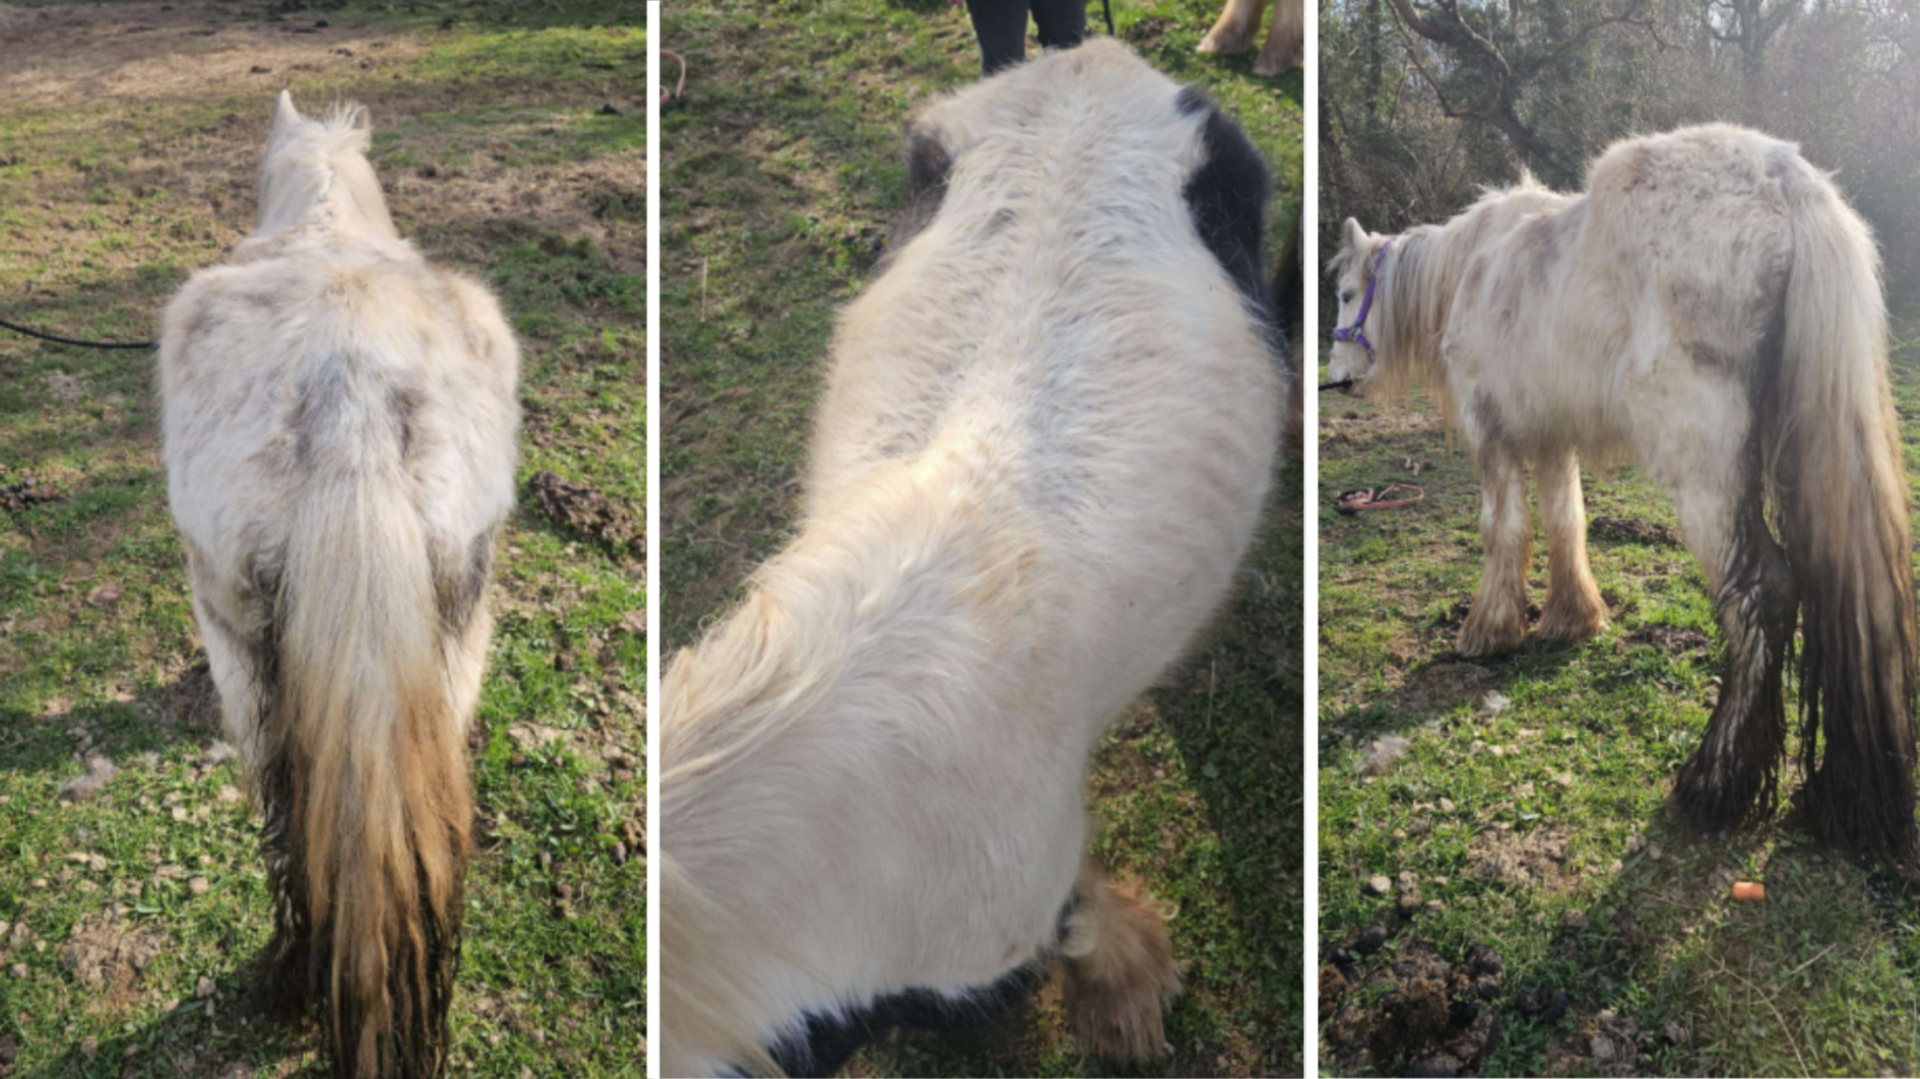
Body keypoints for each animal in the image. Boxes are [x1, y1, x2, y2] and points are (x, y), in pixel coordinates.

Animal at [1327, 123, 1919, 870]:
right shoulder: (1552, 441)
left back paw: (1715, 783)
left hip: (1704, 472)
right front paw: (1570, 618)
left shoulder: (1492, 436)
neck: (1471, 268)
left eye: (1346, 291)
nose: (1336, 377)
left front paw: (1488, 632)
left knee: (1762, 595)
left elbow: (1502, 529)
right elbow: (1565, 523)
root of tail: (1780, 177)